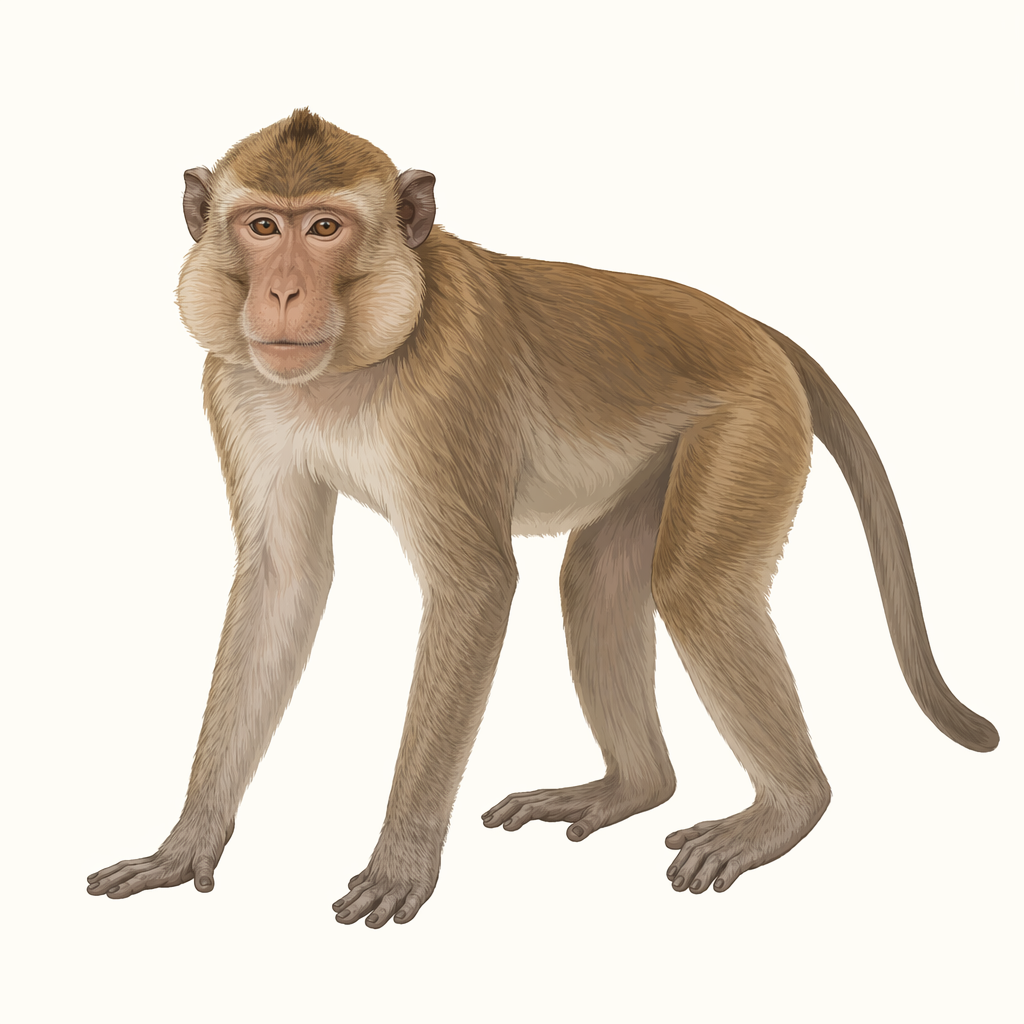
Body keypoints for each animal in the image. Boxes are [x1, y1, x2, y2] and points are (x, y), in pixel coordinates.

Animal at [86, 109, 998, 928]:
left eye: (323, 228)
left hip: (751, 426)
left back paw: (787, 810)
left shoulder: (446, 392)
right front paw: (186, 844)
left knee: (694, 588)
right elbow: (284, 582)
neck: (347, 366)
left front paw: (402, 862)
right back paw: (633, 785)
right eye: (262, 225)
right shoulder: (238, 388)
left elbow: (476, 585)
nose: (280, 291)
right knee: (597, 580)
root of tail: (753, 329)